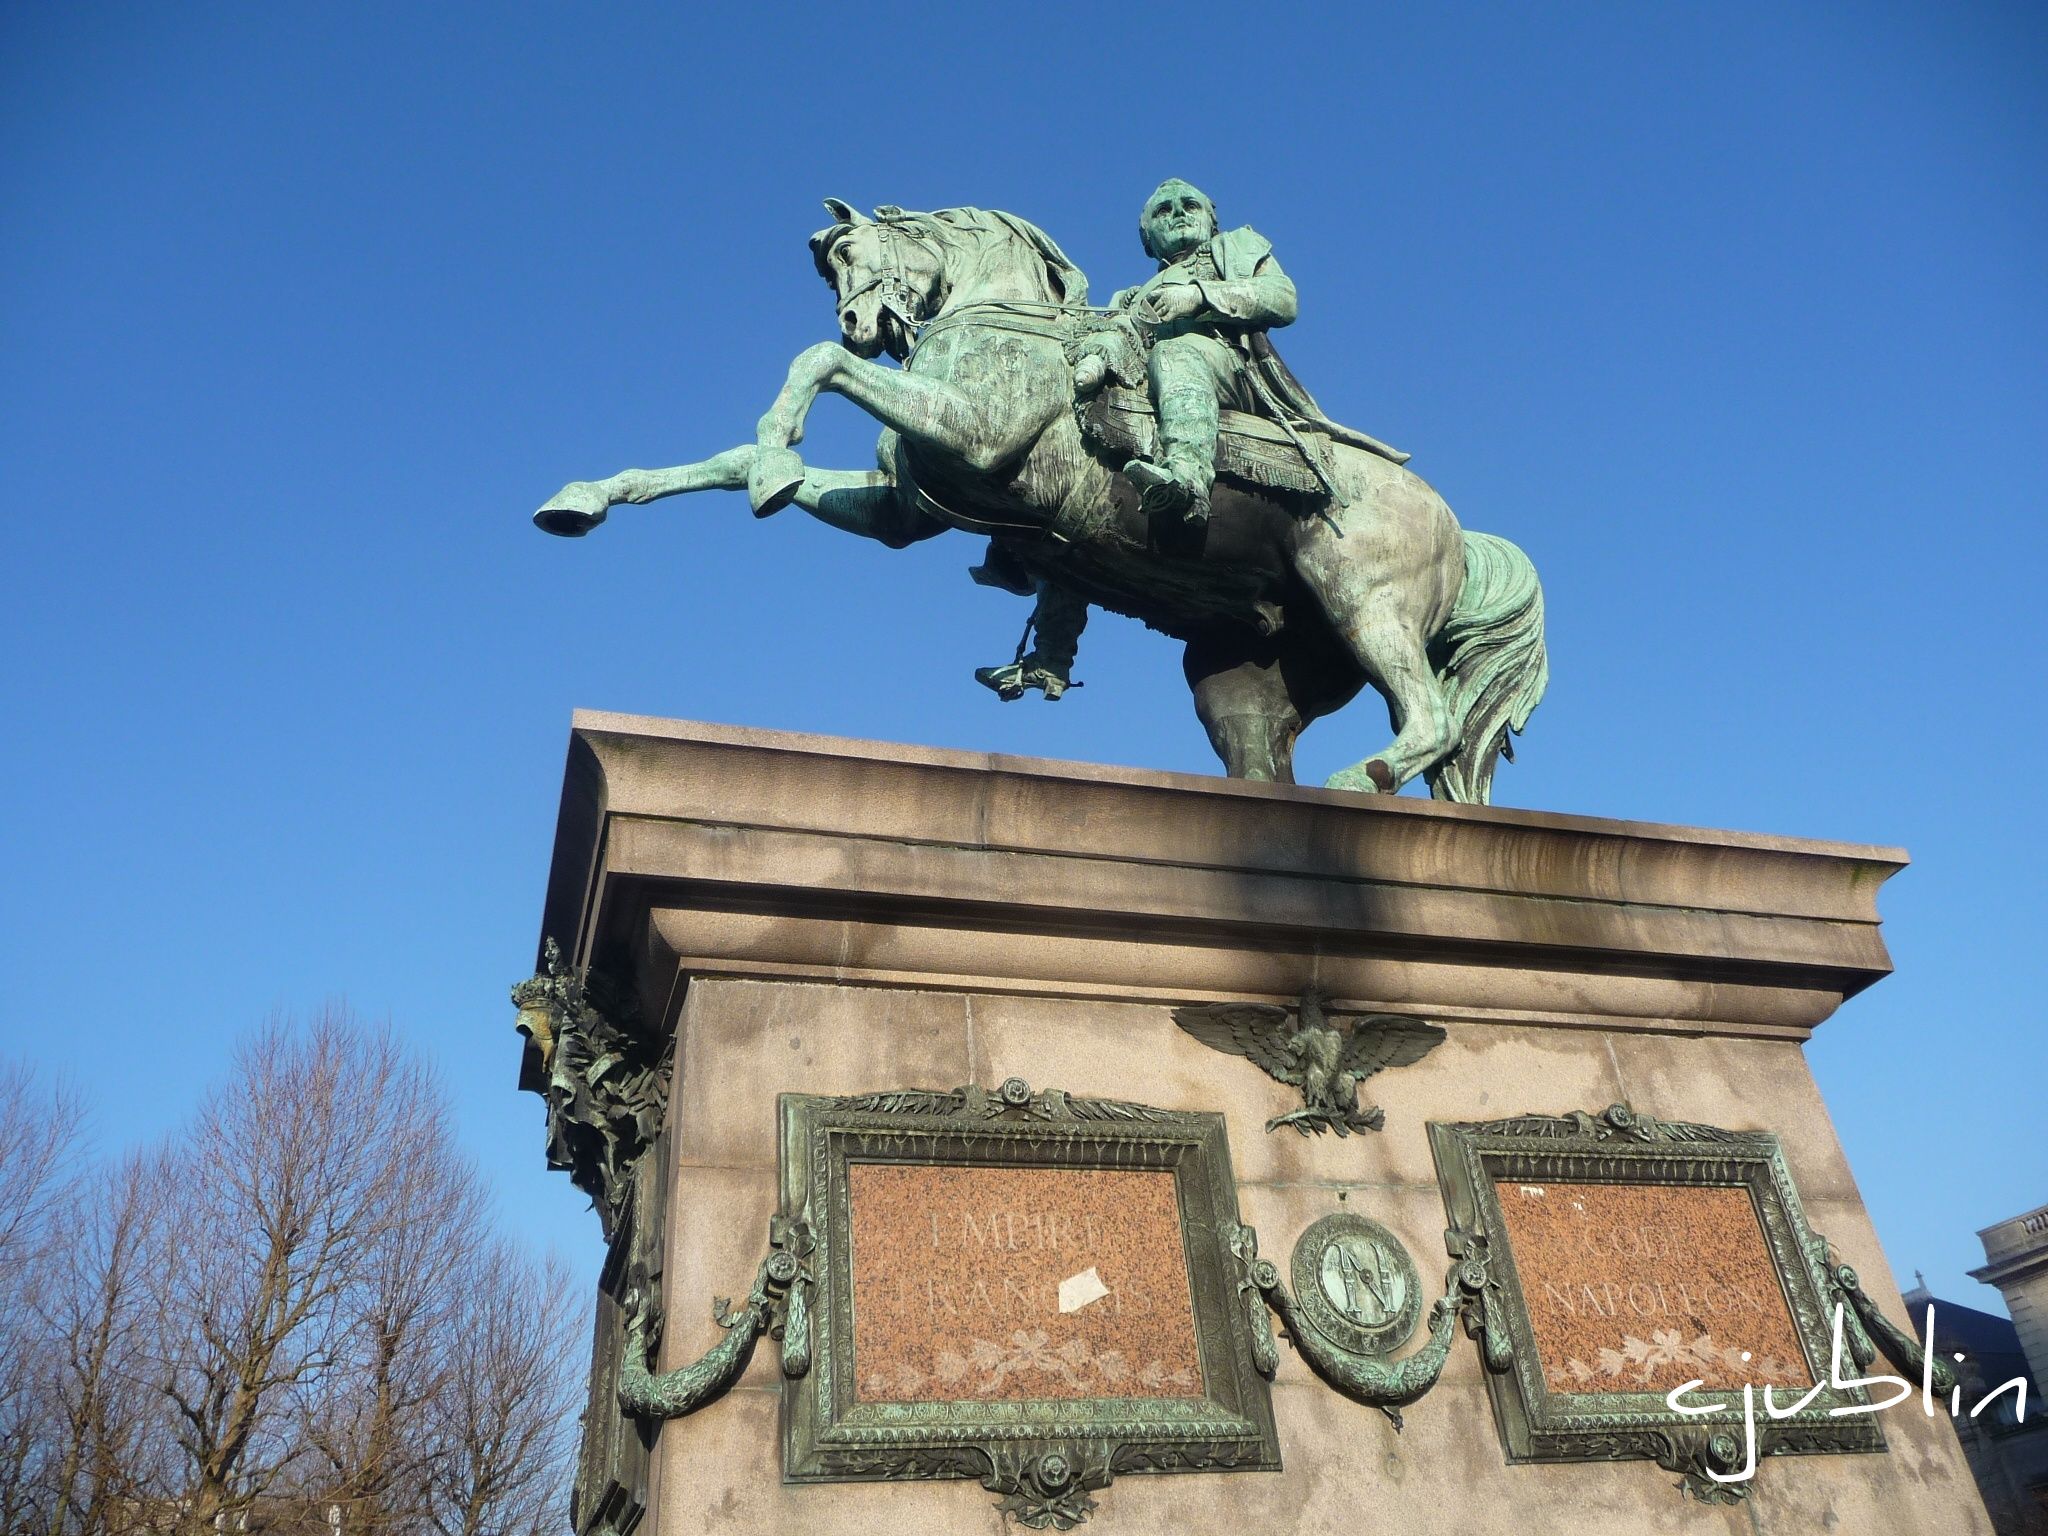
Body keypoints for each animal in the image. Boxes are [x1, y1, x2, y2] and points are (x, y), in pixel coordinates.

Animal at [536, 201, 1540, 806]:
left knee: (1430, 719)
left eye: (854, 254)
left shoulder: (976, 434)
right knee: (1270, 759)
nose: (860, 323)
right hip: (1249, 678)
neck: (997, 321)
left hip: (1365, 604)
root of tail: (1458, 528)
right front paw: (591, 496)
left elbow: (812, 369)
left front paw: (777, 453)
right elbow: (729, 457)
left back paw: (1360, 780)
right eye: (831, 271)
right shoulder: (905, 511)